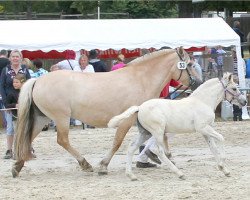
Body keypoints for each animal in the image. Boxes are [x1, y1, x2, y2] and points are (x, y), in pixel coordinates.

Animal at [12, 47, 199, 177]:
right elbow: (117, 142)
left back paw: (17, 166)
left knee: (28, 138)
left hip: (42, 118)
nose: (198, 82)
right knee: (62, 140)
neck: (140, 79)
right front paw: (103, 166)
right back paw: (85, 164)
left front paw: (161, 156)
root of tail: (37, 80)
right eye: (189, 64)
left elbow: (158, 137)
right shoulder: (127, 120)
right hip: (61, 118)